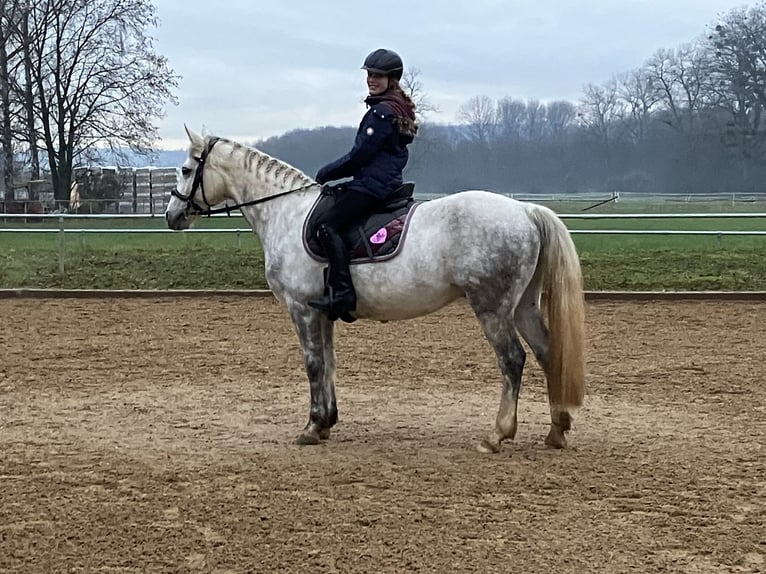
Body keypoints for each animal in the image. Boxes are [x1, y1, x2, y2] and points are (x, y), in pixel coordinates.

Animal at [165, 127, 586, 453]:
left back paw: (497, 435)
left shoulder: (301, 308)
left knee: (512, 360)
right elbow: (329, 362)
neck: (287, 213)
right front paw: (327, 422)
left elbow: (313, 363)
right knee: (548, 353)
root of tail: (525, 211)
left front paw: (312, 427)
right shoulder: (322, 310)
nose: (171, 216)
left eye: (186, 169)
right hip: (523, 306)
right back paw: (557, 430)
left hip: (492, 308)